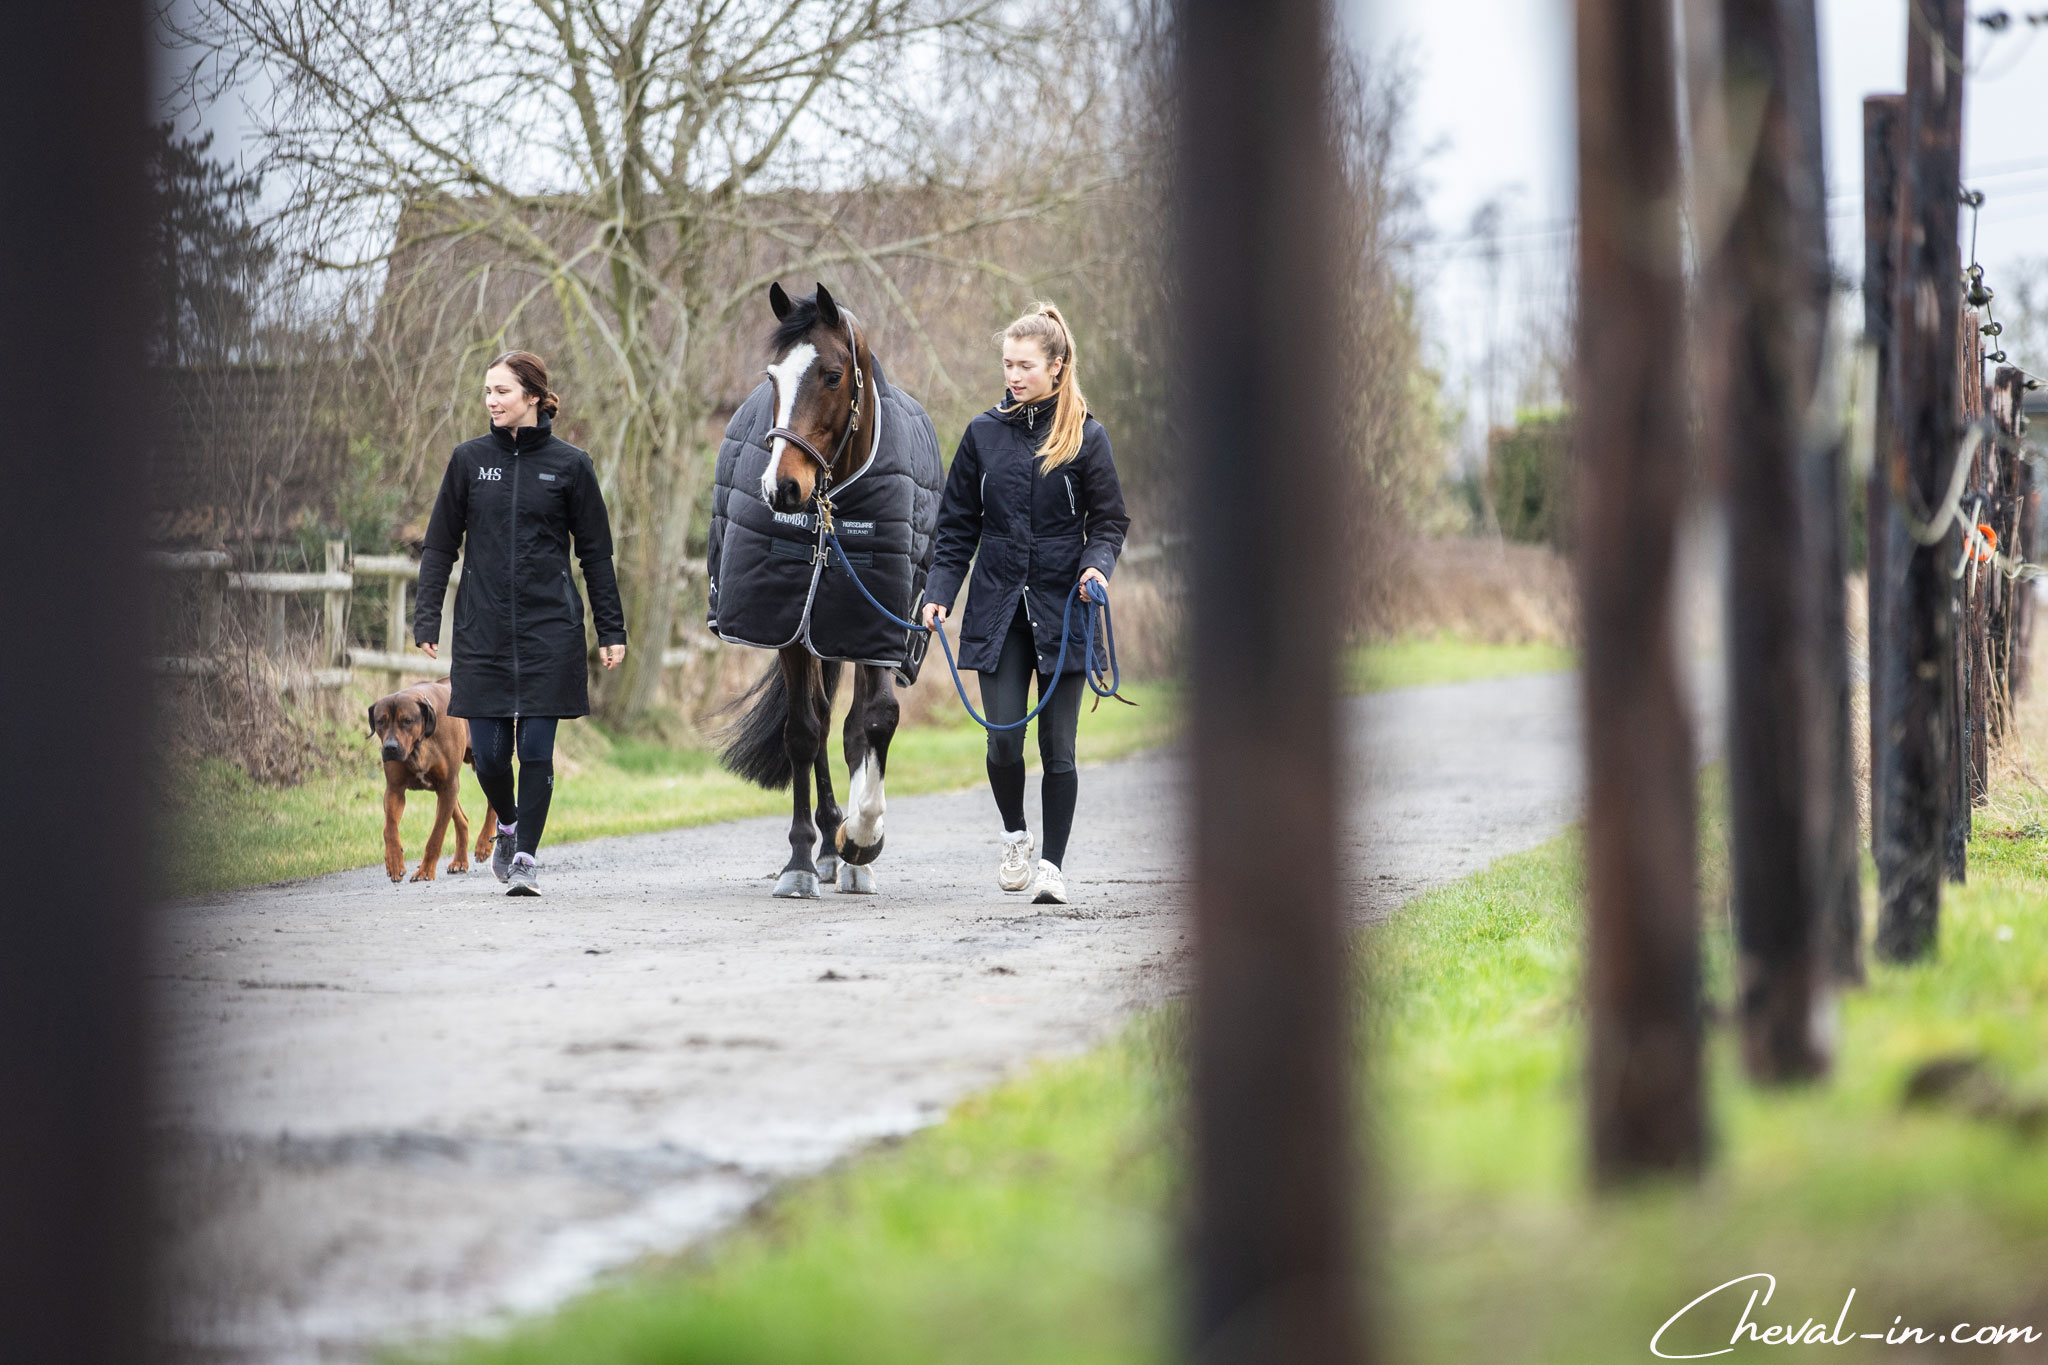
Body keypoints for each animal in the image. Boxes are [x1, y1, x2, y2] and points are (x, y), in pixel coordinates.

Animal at [368, 683, 495, 888]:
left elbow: (436, 835)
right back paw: (460, 861)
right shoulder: (395, 789)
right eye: (381, 721)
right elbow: (389, 828)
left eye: (407, 721)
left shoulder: (447, 785)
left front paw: (425, 871)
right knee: (462, 819)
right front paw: (394, 861)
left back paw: (484, 843)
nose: (390, 747)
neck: (420, 744)